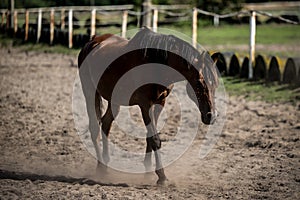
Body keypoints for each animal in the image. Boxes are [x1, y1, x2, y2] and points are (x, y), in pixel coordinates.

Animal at [77, 27, 218, 185]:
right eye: (200, 84)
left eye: (216, 84)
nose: (211, 116)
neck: (156, 63)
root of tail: (93, 40)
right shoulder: (145, 105)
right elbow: (155, 139)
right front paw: (162, 176)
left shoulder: (160, 103)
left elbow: (150, 137)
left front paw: (149, 172)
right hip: (89, 91)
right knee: (95, 128)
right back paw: (100, 168)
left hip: (115, 100)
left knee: (106, 123)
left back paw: (106, 164)